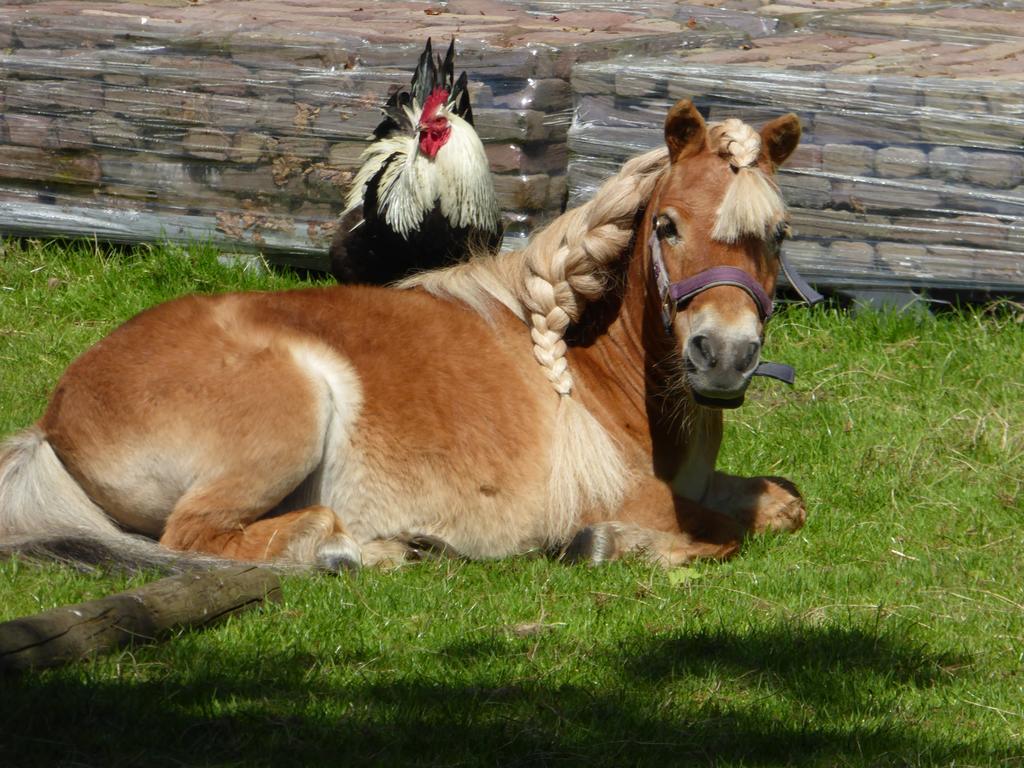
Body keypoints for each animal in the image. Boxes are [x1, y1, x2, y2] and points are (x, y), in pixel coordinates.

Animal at [4, 100, 811, 573]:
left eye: (778, 233)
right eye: (667, 226)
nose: (725, 355)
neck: (591, 370)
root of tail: (54, 419)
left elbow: (783, 502)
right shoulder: (633, 497)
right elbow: (722, 532)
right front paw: (604, 545)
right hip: (289, 418)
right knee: (199, 539)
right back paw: (348, 549)